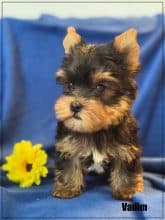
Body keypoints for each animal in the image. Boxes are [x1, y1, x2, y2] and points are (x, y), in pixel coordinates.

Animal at [52, 26, 143, 200]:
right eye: (70, 85)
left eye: (100, 87)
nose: (74, 105)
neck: (96, 130)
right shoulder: (68, 144)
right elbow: (69, 163)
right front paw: (67, 187)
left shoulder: (126, 147)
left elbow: (124, 164)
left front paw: (125, 188)